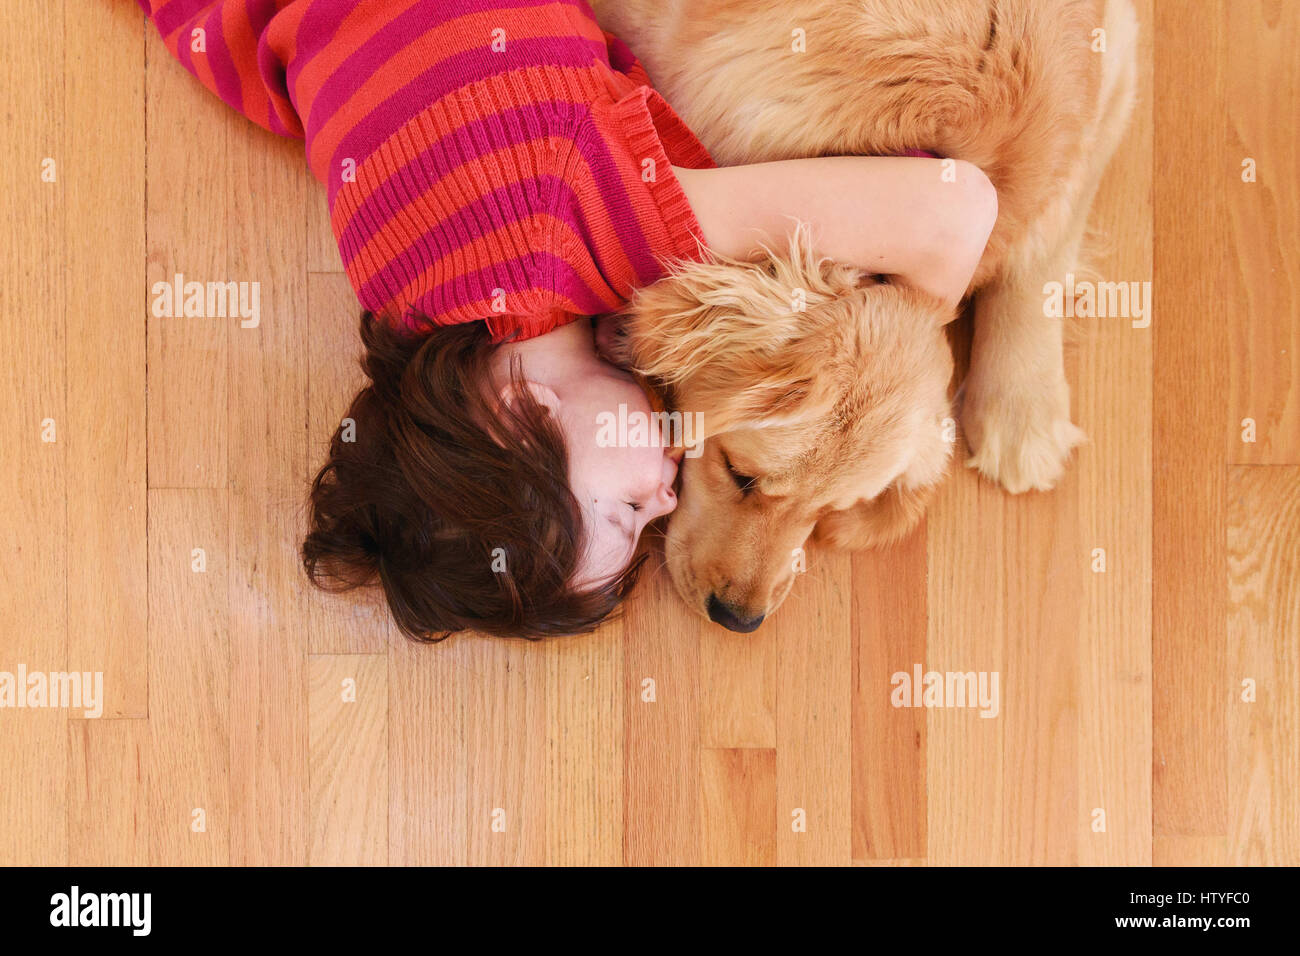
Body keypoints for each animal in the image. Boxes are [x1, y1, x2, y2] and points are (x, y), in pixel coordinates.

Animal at [592, 0, 1138, 632]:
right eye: (738, 473)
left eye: (831, 509)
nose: (738, 618)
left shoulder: (1117, 46)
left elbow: (1052, 226)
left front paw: (1024, 408)